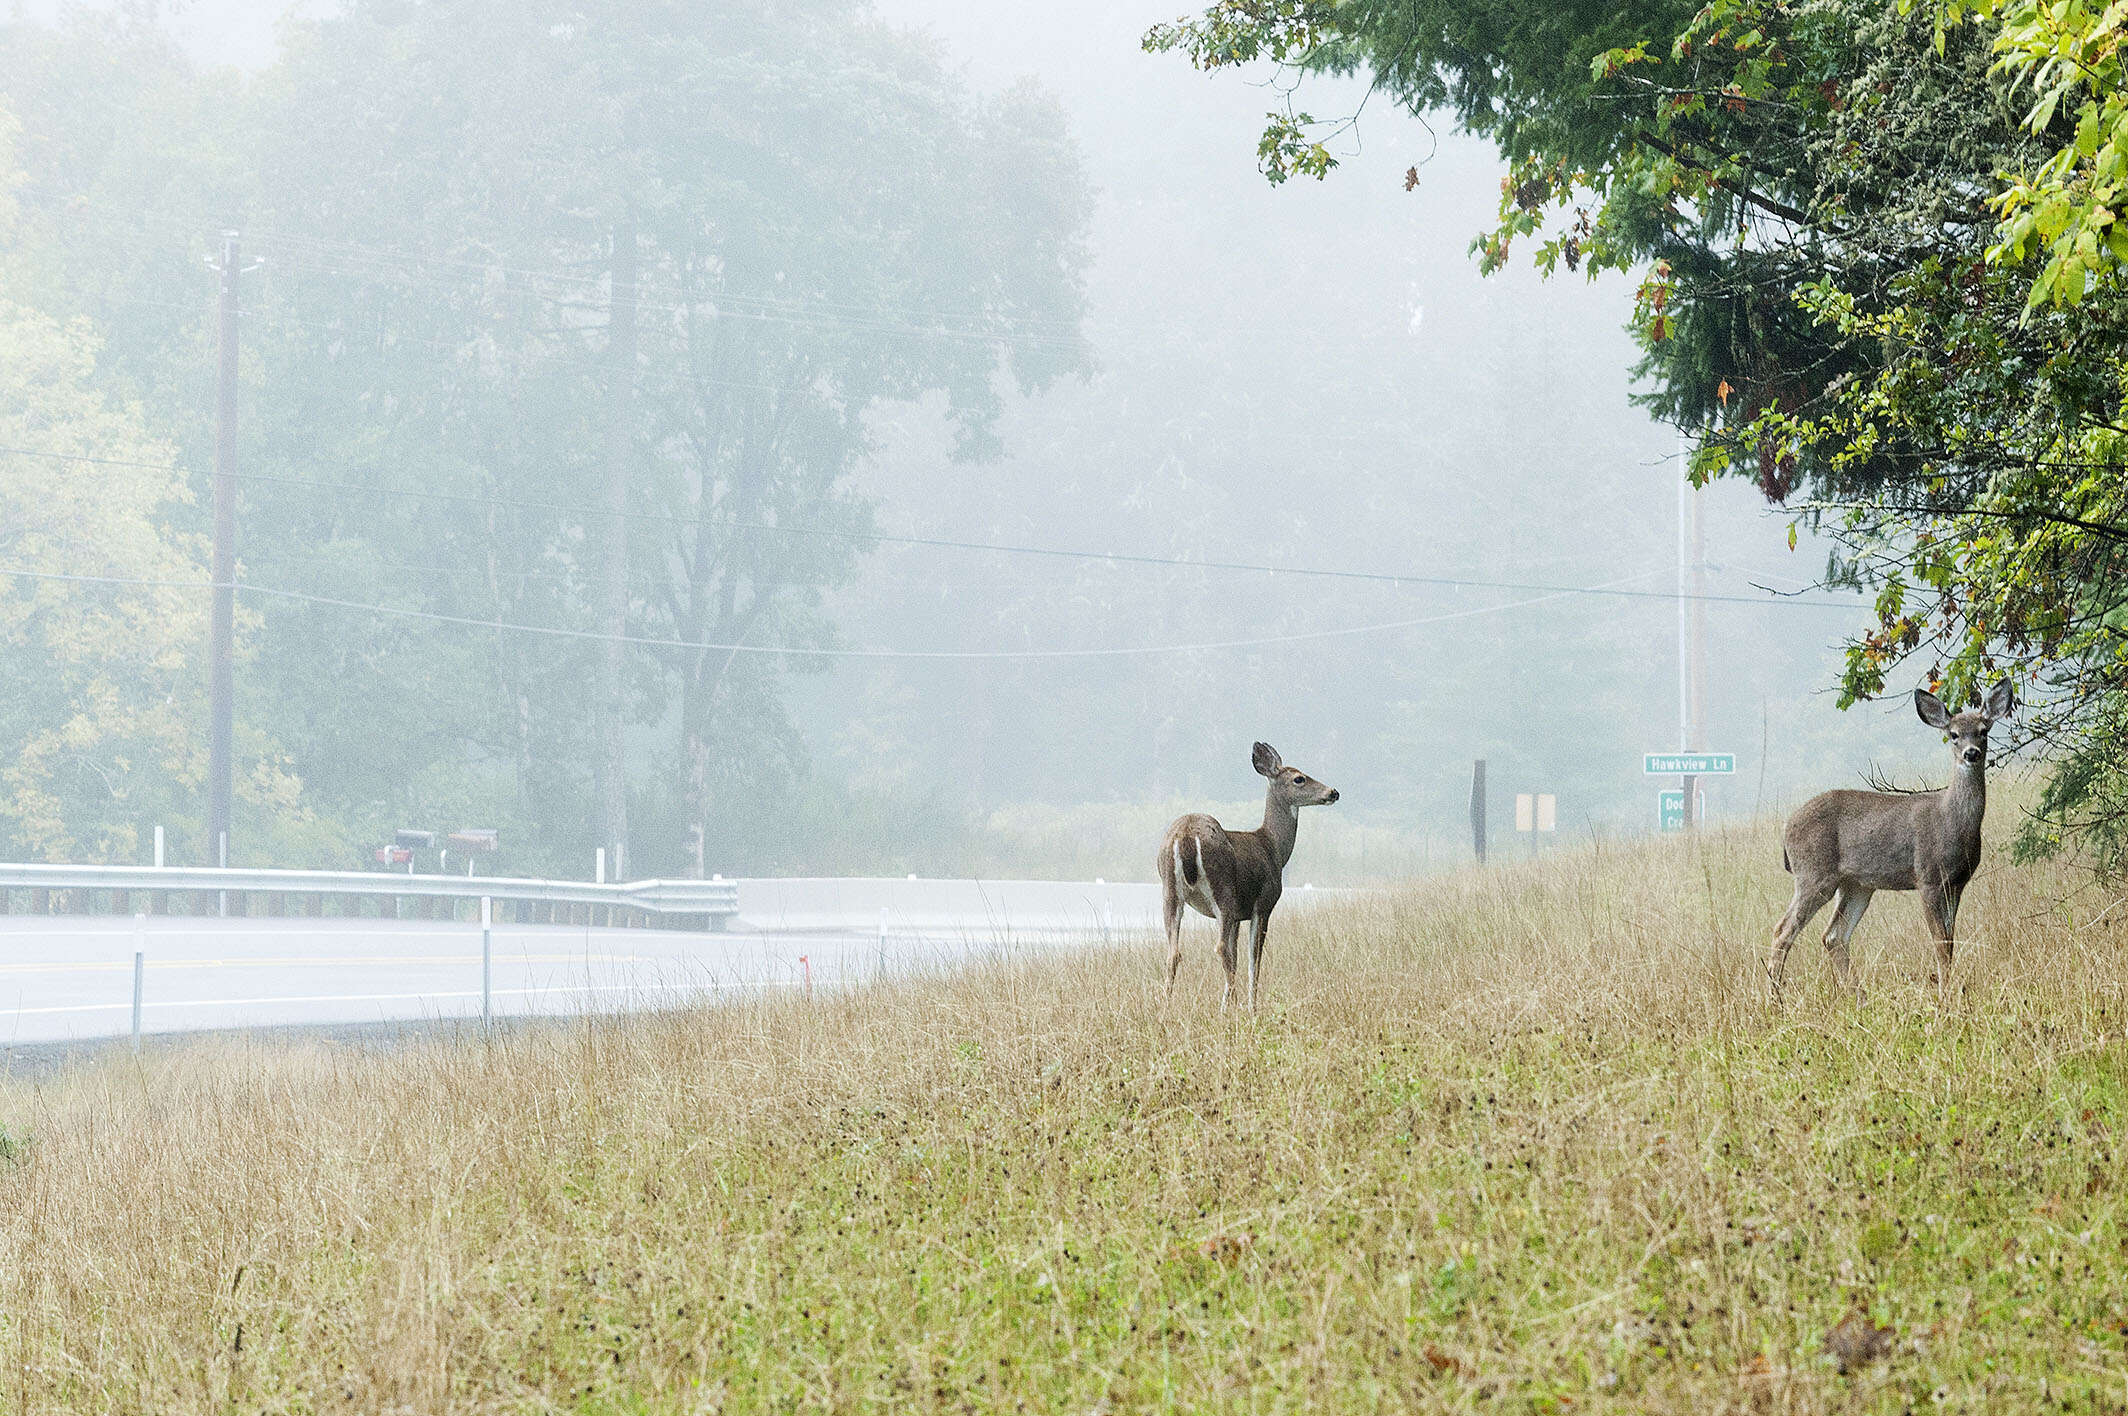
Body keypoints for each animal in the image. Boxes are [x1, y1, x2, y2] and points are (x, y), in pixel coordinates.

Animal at [1157, 741, 1336, 1005]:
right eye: (1299, 778)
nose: (1333, 792)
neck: (1273, 848)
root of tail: (1186, 836)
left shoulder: (1238, 918)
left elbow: (1238, 957)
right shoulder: (1263, 904)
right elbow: (1254, 961)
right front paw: (1251, 1005)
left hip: (1170, 890)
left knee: (1173, 952)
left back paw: (1166, 1007)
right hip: (1223, 890)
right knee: (1219, 948)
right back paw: (1229, 1001)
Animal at [1761, 681, 2008, 1000]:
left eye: (1983, 730)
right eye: (1953, 734)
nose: (1971, 753)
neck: (1951, 820)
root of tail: (1785, 828)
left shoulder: (1957, 882)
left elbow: (1951, 941)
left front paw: (1951, 990)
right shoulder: (1927, 877)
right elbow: (1940, 942)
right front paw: (1944, 995)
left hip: (1856, 884)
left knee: (1833, 936)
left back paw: (1859, 997)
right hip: (1814, 874)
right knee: (1783, 930)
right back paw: (1776, 1000)